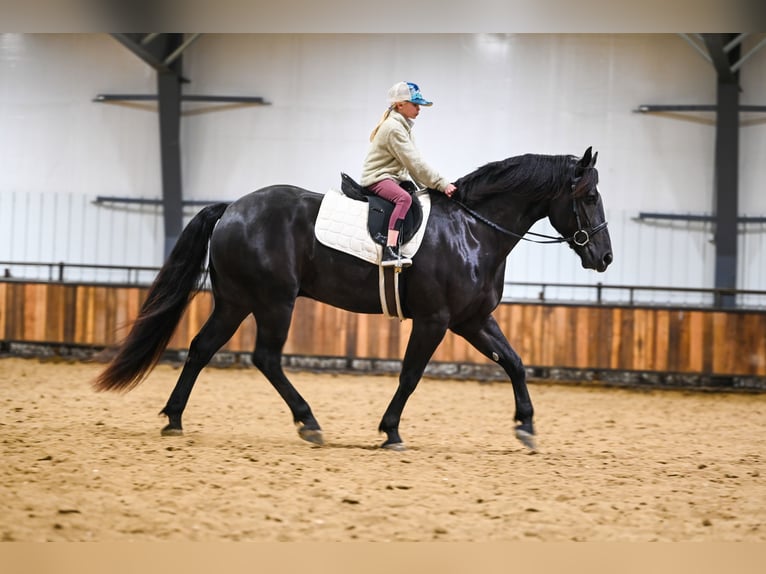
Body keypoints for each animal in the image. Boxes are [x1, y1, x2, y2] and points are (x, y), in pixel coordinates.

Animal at [94, 146, 612, 452]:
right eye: (589, 197)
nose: (604, 257)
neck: (472, 229)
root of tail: (233, 208)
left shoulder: (472, 320)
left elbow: (515, 363)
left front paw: (526, 426)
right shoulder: (435, 320)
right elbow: (410, 375)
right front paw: (391, 431)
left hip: (235, 301)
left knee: (203, 349)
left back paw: (174, 419)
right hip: (274, 301)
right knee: (266, 357)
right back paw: (308, 422)